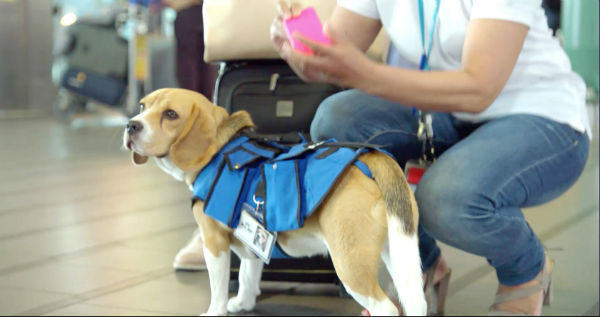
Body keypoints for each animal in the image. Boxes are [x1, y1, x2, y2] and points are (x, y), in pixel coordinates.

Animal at [122, 87, 426, 314]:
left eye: (171, 114)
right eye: (142, 106)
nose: (131, 125)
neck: (221, 149)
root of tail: (369, 159)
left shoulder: (214, 242)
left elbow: (218, 287)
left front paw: (215, 311)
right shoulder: (252, 239)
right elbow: (247, 274)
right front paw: (243, 303)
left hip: (350, 264)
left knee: (386, 307)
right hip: (398, 256)